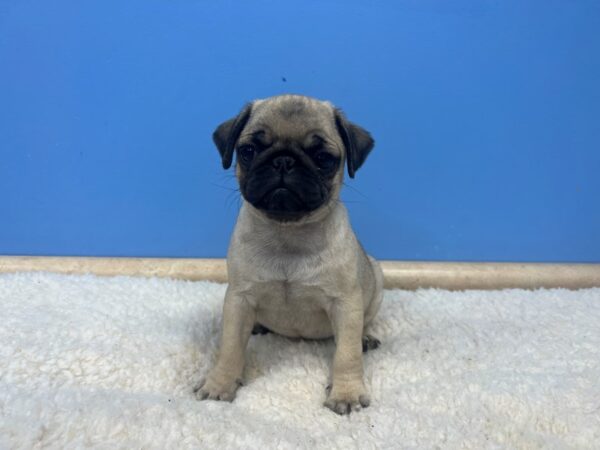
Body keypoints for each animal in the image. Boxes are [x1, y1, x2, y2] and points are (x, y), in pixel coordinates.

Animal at [197, 95, 384, 414]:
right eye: (248, 151)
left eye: (323, 158)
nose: (283, 161)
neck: (287, 234)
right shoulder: (239, 299)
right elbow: (230, 348)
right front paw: (219, 385)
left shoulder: (346, 303)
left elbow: (346, 354)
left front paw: (345, 392)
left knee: (365, 323)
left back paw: (366, 337)